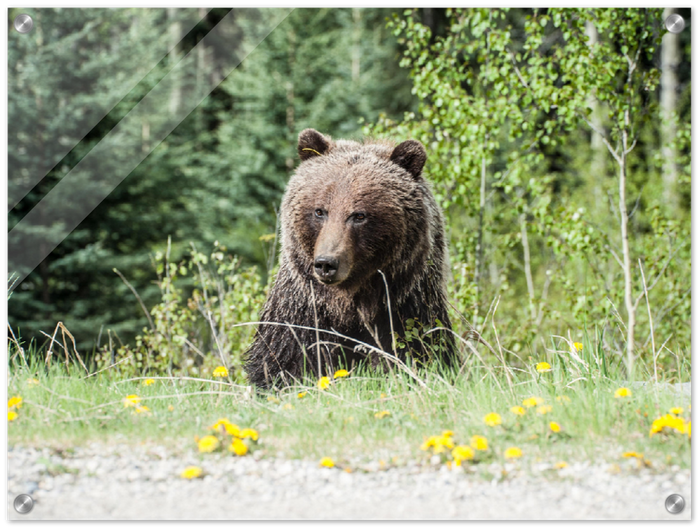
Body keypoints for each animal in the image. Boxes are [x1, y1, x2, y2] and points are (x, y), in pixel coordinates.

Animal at [244, 128, 457, 388]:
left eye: (359, 215)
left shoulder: (406, 307)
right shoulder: (303, 311)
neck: (350, 303)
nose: (326, 263)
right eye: (319, 211)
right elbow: (284, 361)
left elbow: (419, 352)